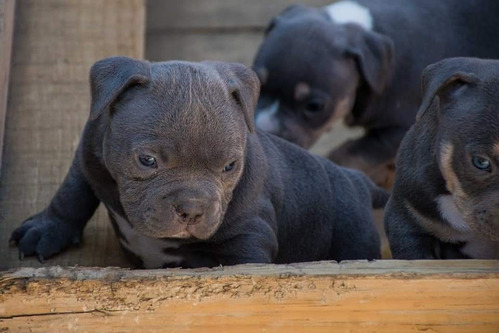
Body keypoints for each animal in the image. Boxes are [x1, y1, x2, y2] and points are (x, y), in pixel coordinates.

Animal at [8, 56, 386, 268]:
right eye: (147, 160)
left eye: (230, 167)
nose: (191, 209)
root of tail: (357, 180)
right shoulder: (89, 154)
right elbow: (71, 193)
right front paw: (47, 229)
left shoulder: (250, 243)